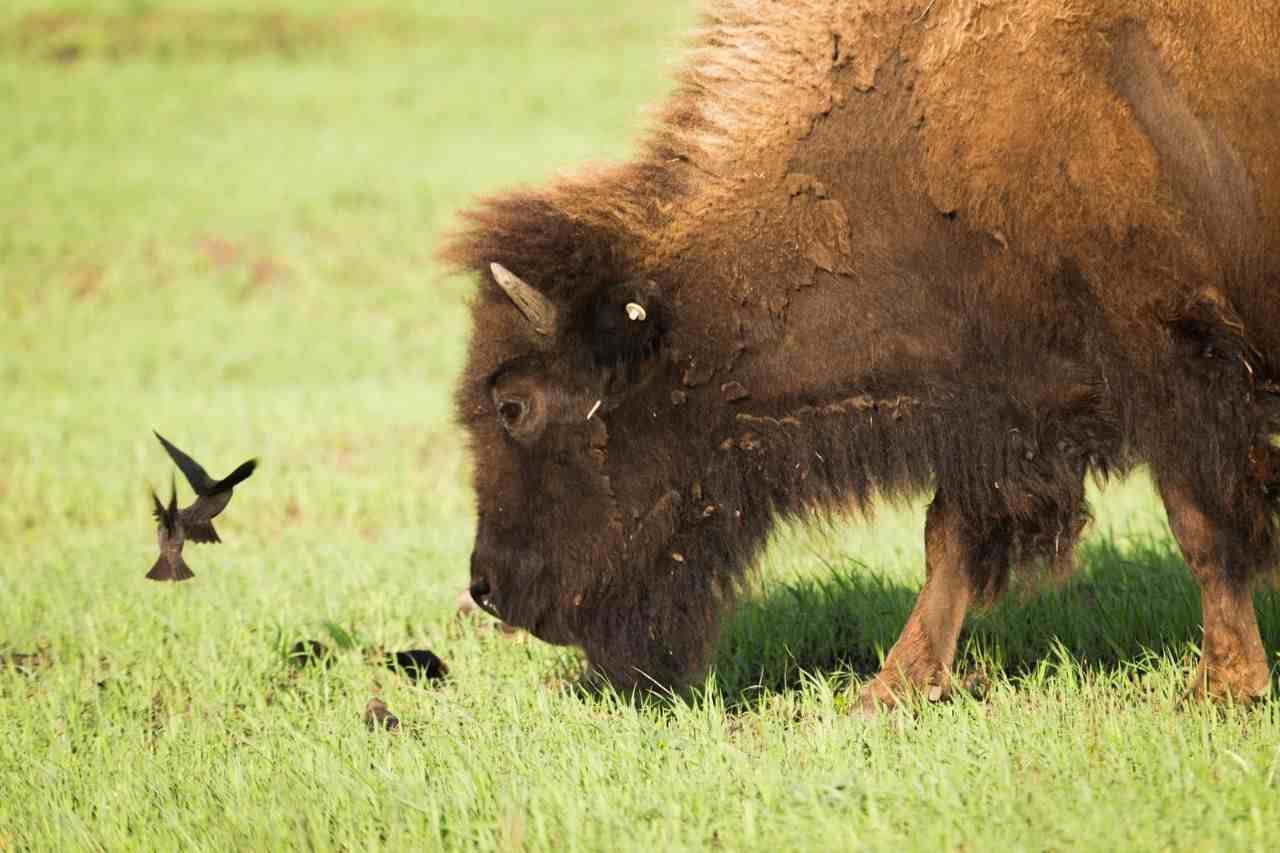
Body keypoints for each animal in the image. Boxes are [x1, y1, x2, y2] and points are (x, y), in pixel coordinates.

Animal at [442, 0, 1280, 701]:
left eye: (513, 405)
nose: (487, 585)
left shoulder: (1165, 362)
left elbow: (1201, 522)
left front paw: (1225, 687)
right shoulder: (994, 403)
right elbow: (949, 539)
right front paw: (890, 691)